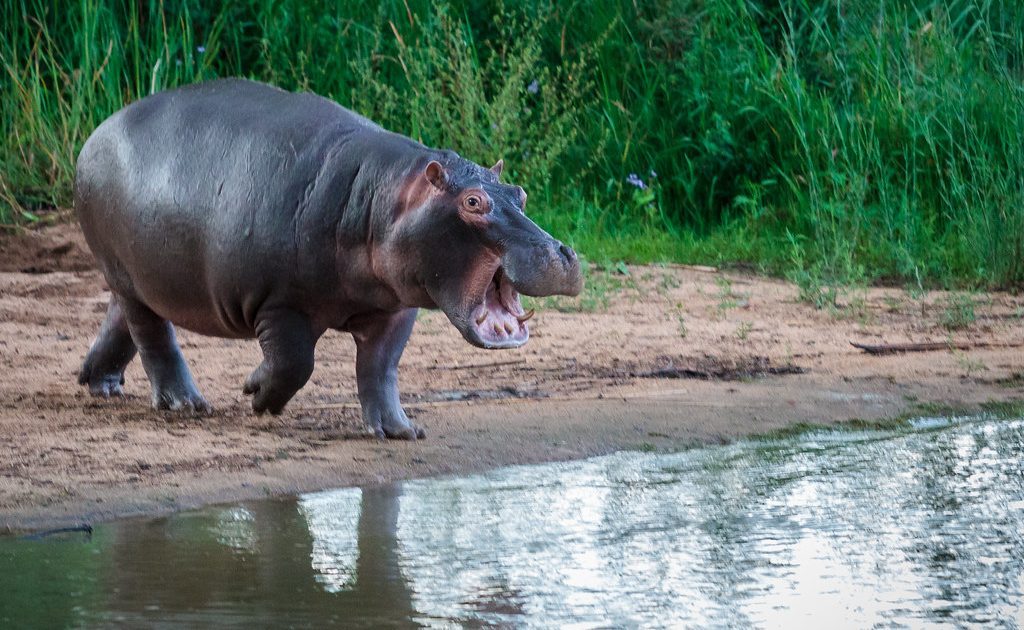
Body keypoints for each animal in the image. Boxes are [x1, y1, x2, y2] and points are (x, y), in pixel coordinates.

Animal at [74, 78, 582, 439]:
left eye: (520, 192)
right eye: (473, 202)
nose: (560, 253)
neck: (384, 199)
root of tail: (97, 132)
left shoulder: (397, 309)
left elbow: (380, 368)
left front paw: (399, 430)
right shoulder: (279, 303)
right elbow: (295, 363)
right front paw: (255, 394)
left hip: (138, 279)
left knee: (122, 320)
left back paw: (99, 383)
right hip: (127, 273)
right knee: (153, 335)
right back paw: (185, 404)